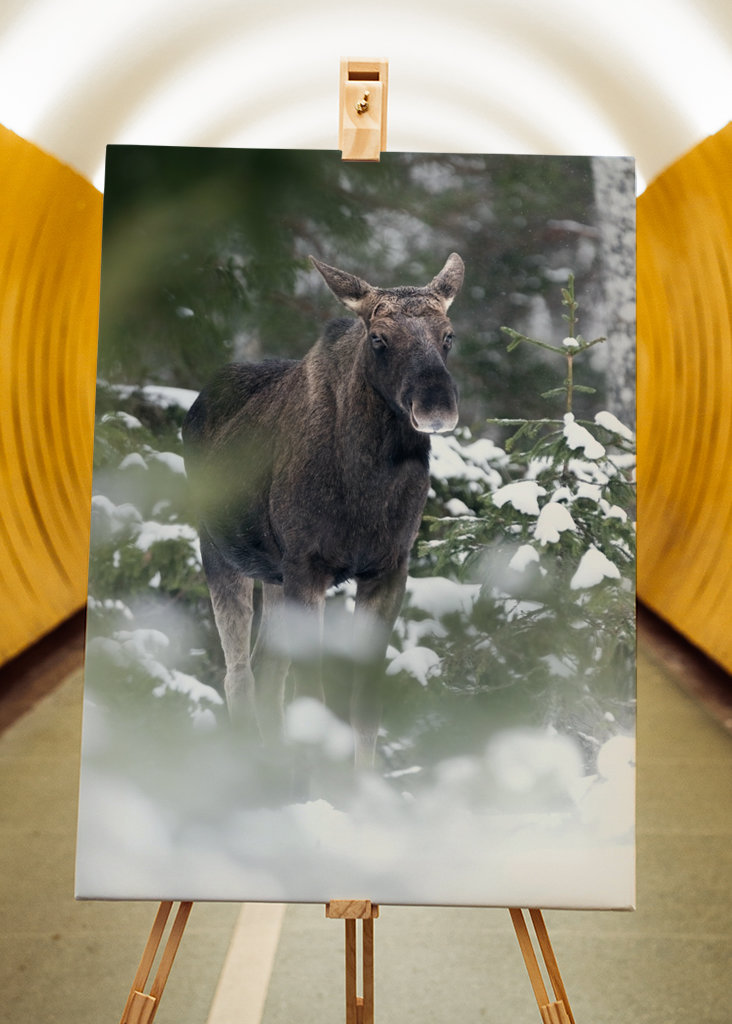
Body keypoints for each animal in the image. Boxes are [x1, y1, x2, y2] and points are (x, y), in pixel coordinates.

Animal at [182, 253, 464, 767]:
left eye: (448, 335)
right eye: (378, 338)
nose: (436, 406)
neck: (368, 487)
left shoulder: (388, 567)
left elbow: (363, 706)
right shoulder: (307, 565)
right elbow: (311, 696)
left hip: (273, 575)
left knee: (267, 672)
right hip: (220, 552)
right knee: (239, 674)